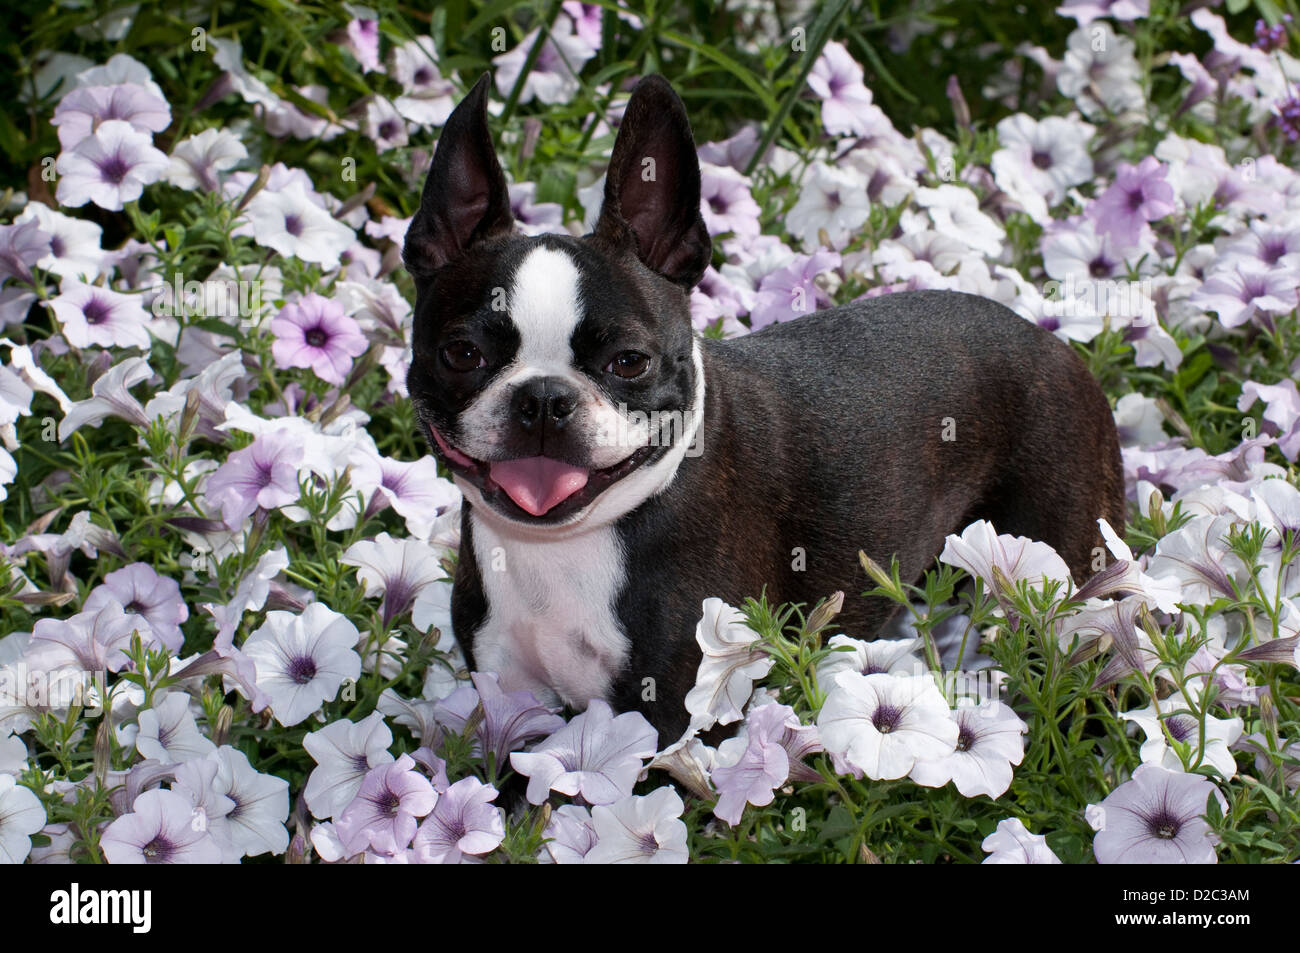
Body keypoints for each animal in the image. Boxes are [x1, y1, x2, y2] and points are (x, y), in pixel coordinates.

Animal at [400, 74, 1123, 743]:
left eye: (629, 362)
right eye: (461, 353)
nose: (545, 399)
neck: (566, 545)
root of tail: (1051, 339)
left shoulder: (667, 716)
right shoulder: (508, 694)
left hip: (1068, 569)